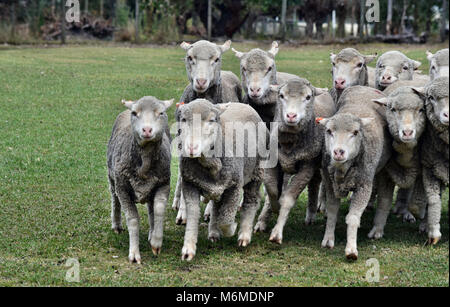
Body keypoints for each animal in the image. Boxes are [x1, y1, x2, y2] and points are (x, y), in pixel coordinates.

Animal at [106, 97, 173, 264]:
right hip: (112, 178)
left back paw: (151, 232)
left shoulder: (163, 183)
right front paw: (134, 253)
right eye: (135, 113)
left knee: (151, 209)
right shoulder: (123, 188)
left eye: (161, 112)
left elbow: (158, 210)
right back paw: (116, 225)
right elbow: (133, 219)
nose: (147, 130)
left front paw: (156, 243)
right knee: (114, 199)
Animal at [174, 100, 268, 262]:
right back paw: (213, 232)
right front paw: (188, 249)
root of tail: (243, 104)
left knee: (251, 201)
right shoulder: (190, 185)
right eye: (184, 119)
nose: (191, 148)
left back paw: (244, 235)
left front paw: (232, 229)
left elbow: (226, 219)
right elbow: (193, 216)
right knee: (216, 206)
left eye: (212, 120)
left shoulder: (235, 187)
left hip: (256, 172)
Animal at [251, 77, 336, 243]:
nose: (291, 116)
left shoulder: (306, 167)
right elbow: (272, 190)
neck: (290, 144)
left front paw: (277, 232)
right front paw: (274, 207)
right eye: (281, 95)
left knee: (314, 184)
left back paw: (311, 214)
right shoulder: (273, 162)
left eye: (308, 97)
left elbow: (288, 199)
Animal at [316, 86, 394, 260]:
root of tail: (366, 87)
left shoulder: (363, 186)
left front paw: (351, 249)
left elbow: (352, 218)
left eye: (356, 132)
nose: (338, 152)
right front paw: (328, 239)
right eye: (329, 131)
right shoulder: (331, 184)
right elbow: (332, 211)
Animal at [370, 86, 428, 238]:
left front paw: (426, 224)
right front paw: (377, 229)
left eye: (421, 110)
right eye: (393, 109)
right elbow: (384, 201)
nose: (407, 133)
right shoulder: (386, 172)